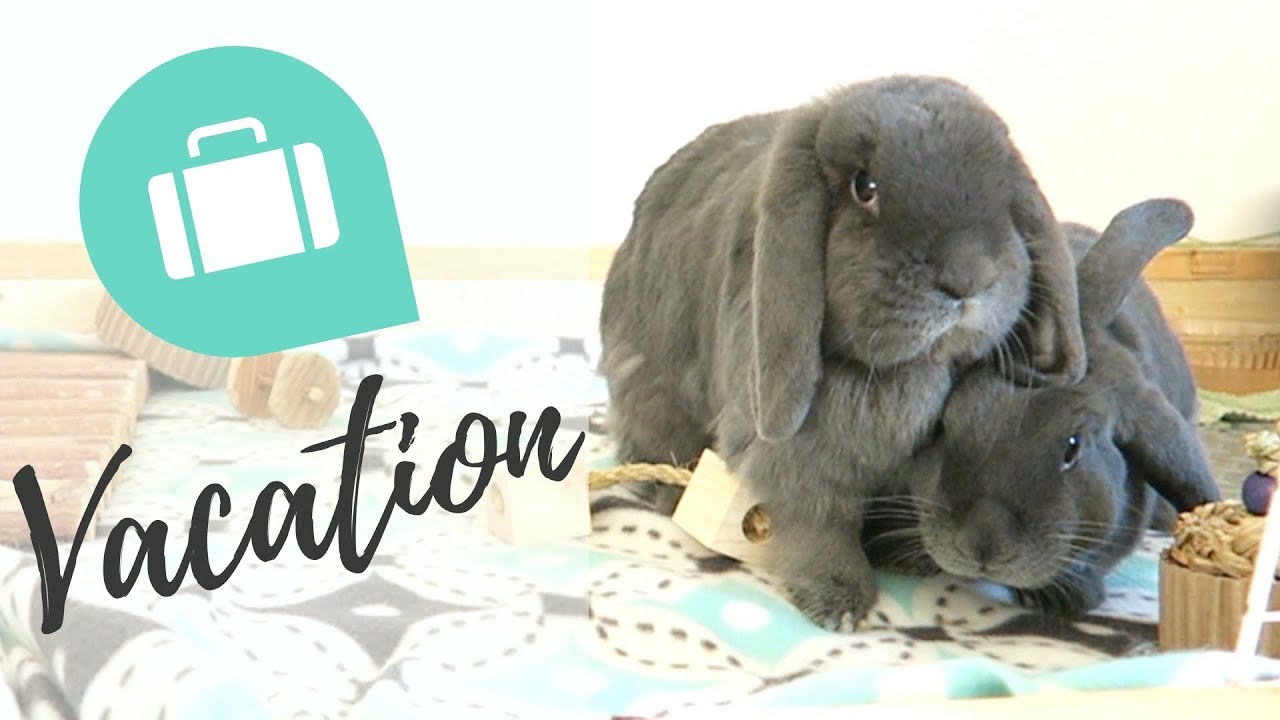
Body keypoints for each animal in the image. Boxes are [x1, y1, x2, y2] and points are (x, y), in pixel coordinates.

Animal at [598, 75, 1088, 631]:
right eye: (864, 187)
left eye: (1003, 191)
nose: (970, 276)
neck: (903, 371)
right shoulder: (803, 460)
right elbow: (820, 525)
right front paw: (838, 604)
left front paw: (908, 557)